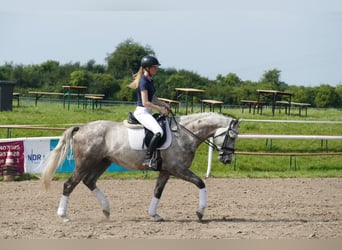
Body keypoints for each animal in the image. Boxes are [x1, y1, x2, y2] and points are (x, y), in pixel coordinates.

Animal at [40, 112, 240, 222]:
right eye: (232, 136)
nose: (226, 159)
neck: (185, 134)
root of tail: (82, 128)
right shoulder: (178, 170)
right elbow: (200, 183)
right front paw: (200, 212)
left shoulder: (166, 171)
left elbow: (158, 191)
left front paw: (154, 215)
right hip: (85, 163)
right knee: (69, 184)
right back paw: (64, 216)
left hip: (103, 162)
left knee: (89, 181)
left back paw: (106, 210)